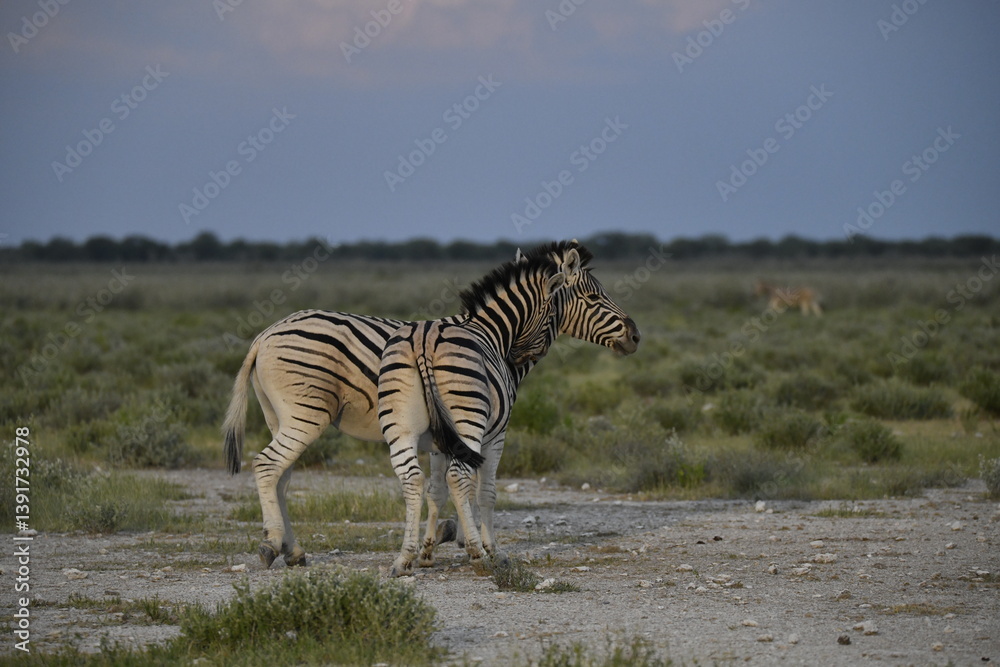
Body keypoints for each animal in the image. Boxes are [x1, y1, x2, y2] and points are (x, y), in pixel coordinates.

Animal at [377, 240, 640, 576]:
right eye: (594, 297)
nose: (635, 336)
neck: (495, 332)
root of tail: (424, 338)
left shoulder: (439, 442)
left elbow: (436, 490)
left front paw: (428, 551)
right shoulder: (496, 435)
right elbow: (485, 492)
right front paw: (491, 550)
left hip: (400, 426)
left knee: (411, 478)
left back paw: (403, 559)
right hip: (468, 421)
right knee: (458, 476)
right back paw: (477, 554)